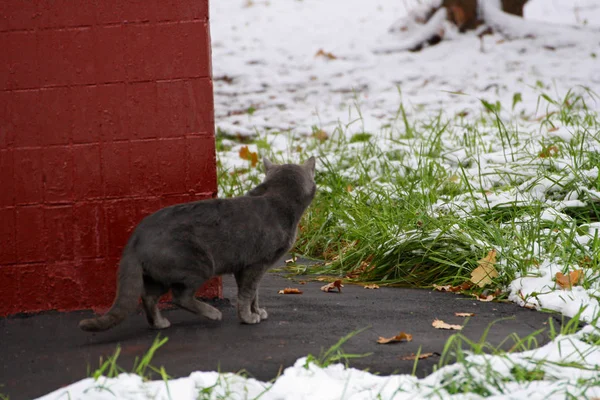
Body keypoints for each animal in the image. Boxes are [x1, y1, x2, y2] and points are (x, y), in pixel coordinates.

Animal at [78, 157, 318, 332]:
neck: (277, 199)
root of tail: (136, 236)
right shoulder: (256, 264)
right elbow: (247, 293)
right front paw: (249, 318)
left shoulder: (245, 268)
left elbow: (253, 294)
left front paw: (256, 312)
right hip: (199, 264)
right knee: (180, 296)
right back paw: (213, 313)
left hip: (158, 274)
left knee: (149, 296)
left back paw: (159, 323)